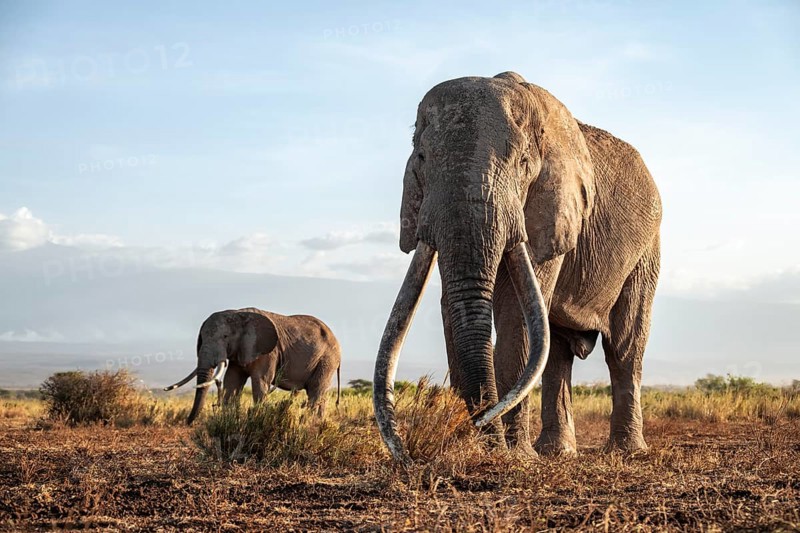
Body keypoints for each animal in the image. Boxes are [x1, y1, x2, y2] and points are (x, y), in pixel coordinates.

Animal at [165, 308, 341, 424]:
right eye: (201, 338)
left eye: (225, 336)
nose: (187, 422)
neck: (238, 314)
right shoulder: (239, 351)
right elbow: (232, 382)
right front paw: (228, 419)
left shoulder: (267, 352)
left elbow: (260, 381)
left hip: (327, 360)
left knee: (316, 390)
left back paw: (308, 425)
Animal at [374, 72, 661, 464]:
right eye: (421, 158)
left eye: (524, 163)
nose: (481, 427)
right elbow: (453, 304)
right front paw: (488, 448)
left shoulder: (551, 210)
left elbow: (515, 312)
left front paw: (515, 456)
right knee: (558, 350)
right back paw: (557, 453)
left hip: (647, 248)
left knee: (624, 347)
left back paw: (626, 452)